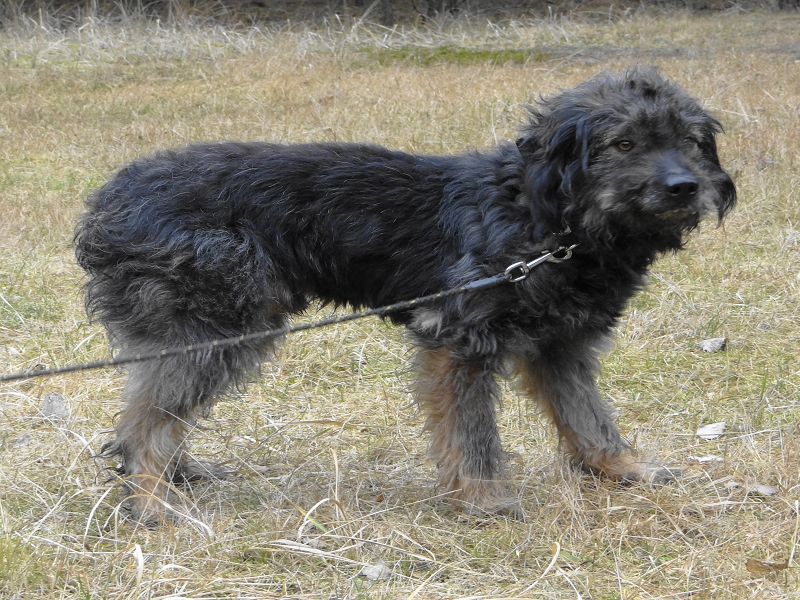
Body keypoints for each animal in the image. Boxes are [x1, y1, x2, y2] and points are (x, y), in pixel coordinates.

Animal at [75, 68, 735, 521]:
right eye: (624, 144)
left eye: (690, 141)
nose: (685, 186)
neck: (543, 218)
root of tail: (108, 201)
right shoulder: (459, 342)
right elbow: (472, 435)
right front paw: (484, 498)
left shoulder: (563, 347)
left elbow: (589, 418)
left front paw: (623, 469)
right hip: (218, 329)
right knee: (144, 422)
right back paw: (153, 501)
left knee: (148, 407)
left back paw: (174, 474)